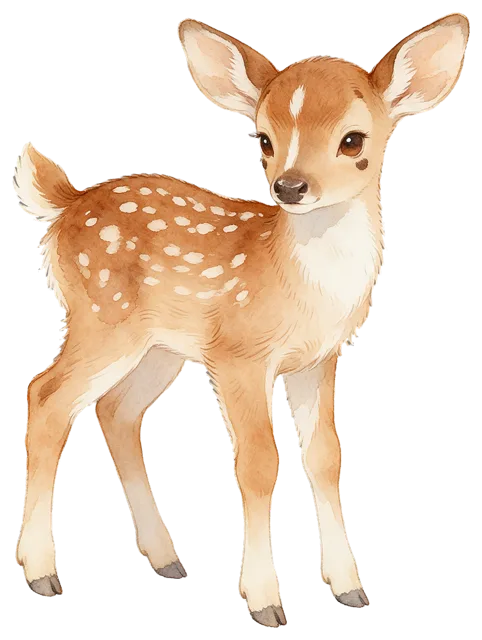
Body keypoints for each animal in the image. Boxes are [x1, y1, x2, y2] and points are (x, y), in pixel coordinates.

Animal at [14, 13, 469, 626]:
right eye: (264, 139)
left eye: (353, 140)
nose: (290, 186)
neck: (301, 287)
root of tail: (64, 205)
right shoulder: (239, 355)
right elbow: (258, 464)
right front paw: (265, 603)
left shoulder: (318, 360)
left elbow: (325, 457)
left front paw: (350, 589)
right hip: (102, 317)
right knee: (46, 395)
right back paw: (42, 574)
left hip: (160, 346)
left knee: (115, 410)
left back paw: (167, 561)